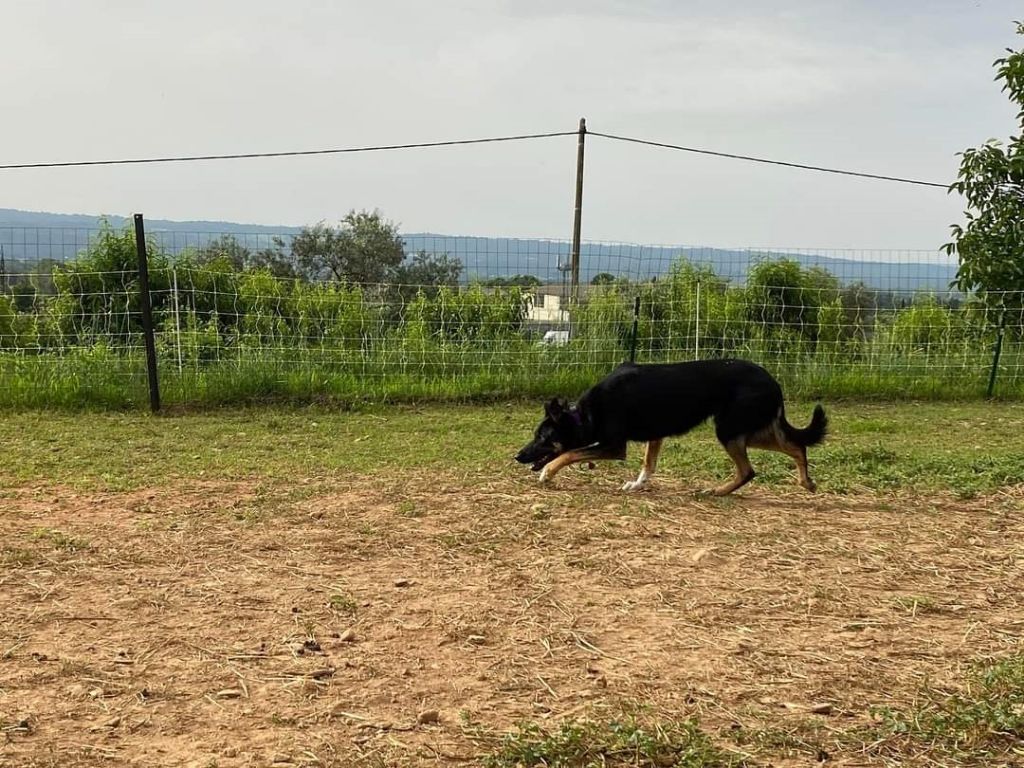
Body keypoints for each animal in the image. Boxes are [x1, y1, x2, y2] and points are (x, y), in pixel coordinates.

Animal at [516, 360, 827, 495]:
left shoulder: (614, 446)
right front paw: (637, 484)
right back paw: (806, 482)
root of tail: (773, 382)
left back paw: (717, 491)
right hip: (748, 430)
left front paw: (547, 472)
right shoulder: (655, 436)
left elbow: (569, 453)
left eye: (542, 437)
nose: (517, 456)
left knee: (749, 470)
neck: (586, 414)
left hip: (729, 430)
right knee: (796, 446)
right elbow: (648, 464)